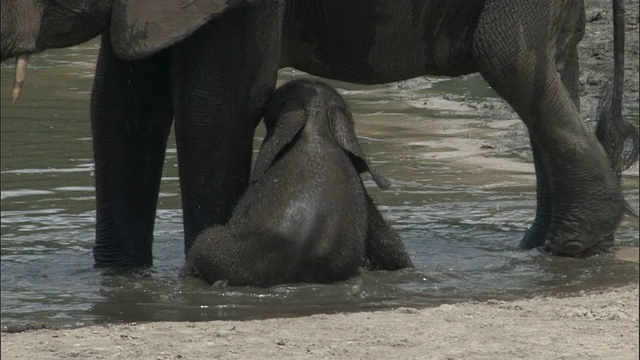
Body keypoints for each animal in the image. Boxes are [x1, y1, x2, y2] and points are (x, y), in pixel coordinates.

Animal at [2, 0, 636, 264]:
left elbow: (218, 102)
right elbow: (121, 105)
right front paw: (117, 278)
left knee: (506, 57)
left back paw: (573, 243)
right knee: (550, 62)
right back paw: (555, 246)